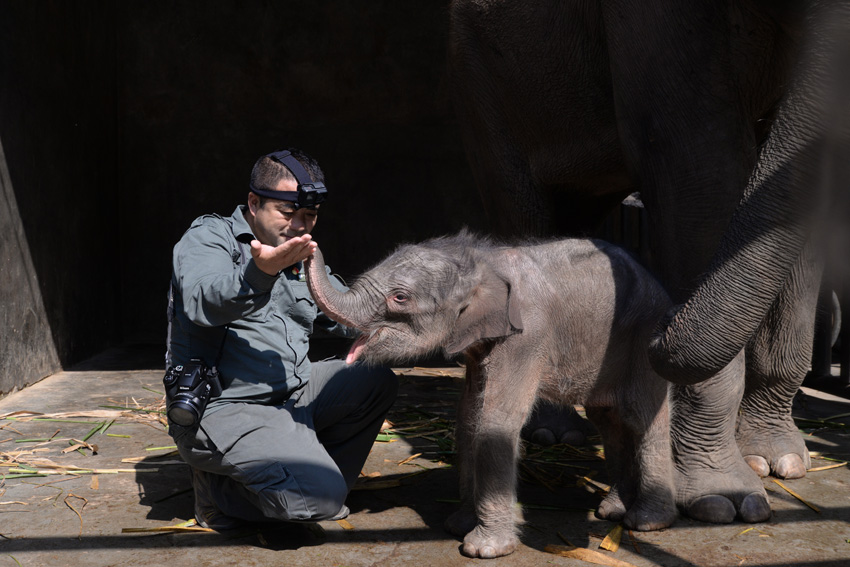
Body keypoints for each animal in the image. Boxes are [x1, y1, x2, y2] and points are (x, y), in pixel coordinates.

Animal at [306, 232, 676, 558]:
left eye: (400, 298)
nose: (307, 243)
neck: (482, 262)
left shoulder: (526, 338)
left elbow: (495, 420)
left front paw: (483, 549)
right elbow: (469, 416)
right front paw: (458, 526)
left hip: (645, 334)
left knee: (641, 416)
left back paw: (646, 522)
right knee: (608, 418)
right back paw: (613, 511)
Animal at [447, 0, 849, 525]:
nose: (666, 319)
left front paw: (777, 461)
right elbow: (699, 166)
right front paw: (724, 502)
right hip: (482, 83)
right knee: (522, 209)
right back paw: (554, 433)